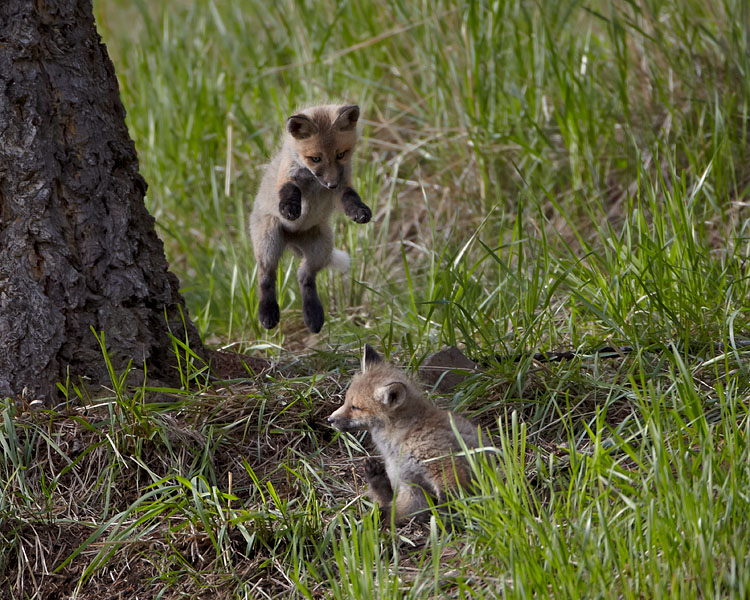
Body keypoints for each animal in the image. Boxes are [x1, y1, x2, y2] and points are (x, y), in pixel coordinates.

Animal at [249, 103, 372, 333]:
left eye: (341, 154)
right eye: (315, 158)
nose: (331, 184)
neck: (313, 182)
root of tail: (292, 238)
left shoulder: (343, 185)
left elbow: (351, 198)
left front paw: (360, 212)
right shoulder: (287, 174)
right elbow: (289, 191)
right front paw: (290, 208)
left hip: (321, 247)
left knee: (304, 276)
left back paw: (313, 316)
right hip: (269, 241)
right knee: (266, 275)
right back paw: (268, 313)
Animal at [328, 345, 480, 524]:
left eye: (355, 407)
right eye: (346, 401)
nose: (330, 419)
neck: (403, 440)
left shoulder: (445, 464)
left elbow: (450, 499)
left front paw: (446, 523)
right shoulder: (410, 486)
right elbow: (396, 513)